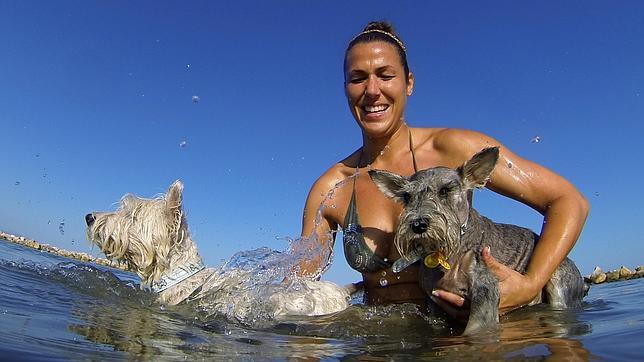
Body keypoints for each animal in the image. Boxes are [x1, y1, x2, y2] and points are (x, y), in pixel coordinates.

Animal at [368, 148, 588, 336]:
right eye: (407, 196)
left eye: (445, 190)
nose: (418, 225)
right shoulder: (434, 303)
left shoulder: (484, 291)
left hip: (559, 285)